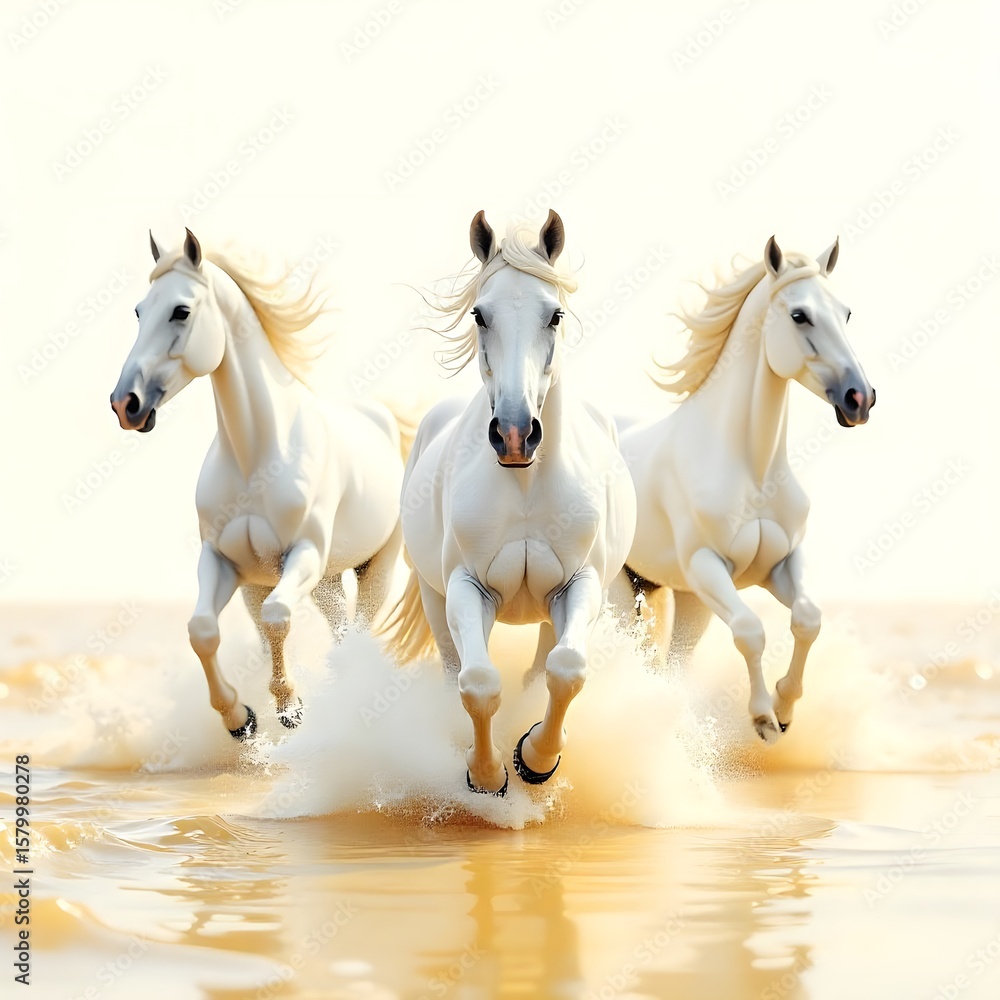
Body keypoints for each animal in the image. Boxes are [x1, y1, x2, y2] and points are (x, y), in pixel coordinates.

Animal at [110, 229, 405, 739]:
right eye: (139, 311)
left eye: (181, 311)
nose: (125, 403)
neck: (257, 458)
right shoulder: (223, 562)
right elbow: (202, 631)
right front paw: (239, 717)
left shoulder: (303, 555)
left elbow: (277, 620)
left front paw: (289, 707)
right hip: (318, 581)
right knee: (338, 629)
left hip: (375, 569)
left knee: (358, 627)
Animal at [380, 210, 636, 795]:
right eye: (480, 313)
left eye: (555, 315)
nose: (516, 435)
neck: (524, 489)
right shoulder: (466, 588)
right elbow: (477, 683)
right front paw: (488, 773)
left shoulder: (579, 584)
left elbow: (567, 671)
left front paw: (536, 758)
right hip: (435, 599)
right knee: (454, 671)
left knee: (543, 666)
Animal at [614, 236, 875, 742]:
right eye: (799, 315)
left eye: (847, 313)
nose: (860, 398)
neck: (750, 468)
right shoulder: (706, 567)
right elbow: (750, 630)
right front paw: (762, 718)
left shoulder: (779, 565)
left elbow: (808, 618)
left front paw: (786, 706)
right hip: (617, 592)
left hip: (679, 598)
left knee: (670, 664)